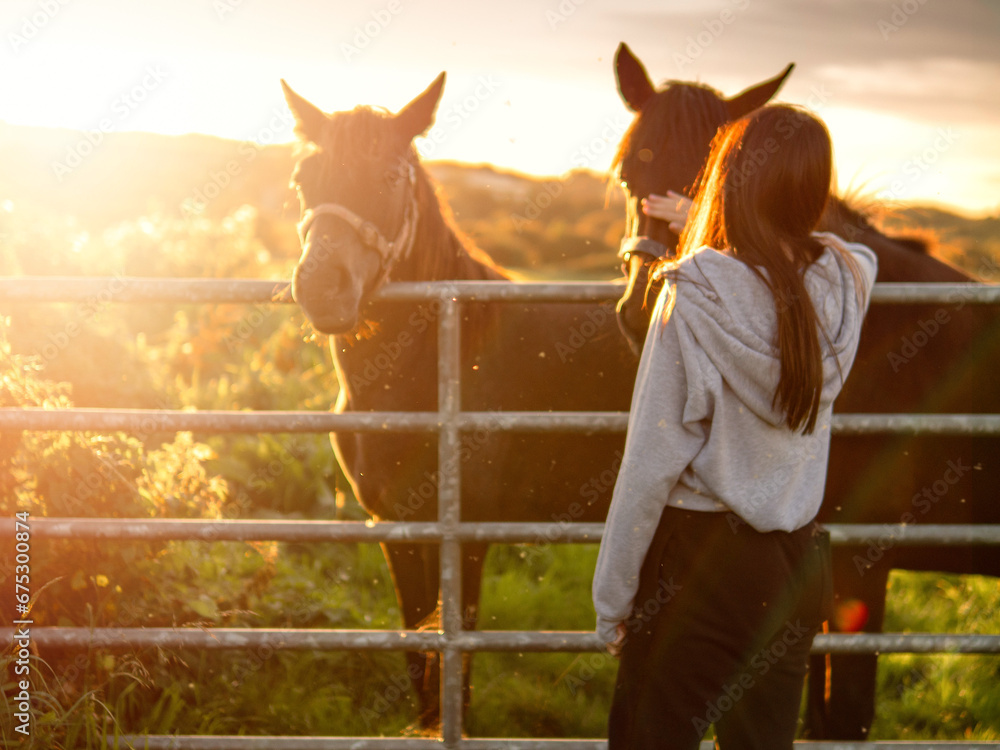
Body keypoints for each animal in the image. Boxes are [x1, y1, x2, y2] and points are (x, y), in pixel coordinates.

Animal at [281, 74, 639, 728]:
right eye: (302, 180)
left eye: (390, 178)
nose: (321, 287)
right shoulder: (395, 527)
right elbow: (419, 652)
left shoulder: (466, 535)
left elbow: (457, 658)